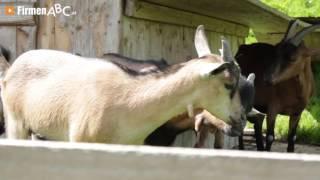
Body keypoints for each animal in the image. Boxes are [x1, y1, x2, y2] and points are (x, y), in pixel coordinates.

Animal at [235, 20, 320, 152]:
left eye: (293, 58)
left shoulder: (297, 112)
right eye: (275, 53)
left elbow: (292, 138)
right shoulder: (272, 108)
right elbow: (270, 137)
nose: (267, 79)